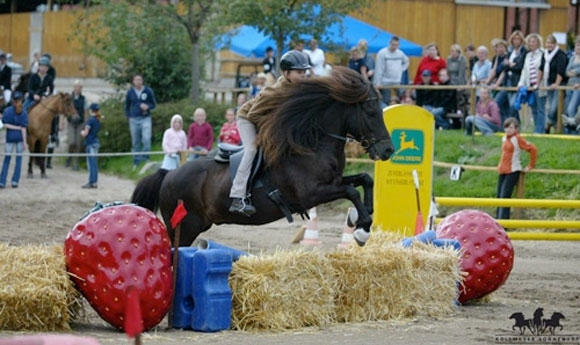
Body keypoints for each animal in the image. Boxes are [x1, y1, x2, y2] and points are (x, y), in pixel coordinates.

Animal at [131, 65, 394, 247]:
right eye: (370, 110)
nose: (388, 151)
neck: (313, 145)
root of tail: (168, 174)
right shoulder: (312, 193)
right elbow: (351, 191)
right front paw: (361, 229)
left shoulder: (333, 182)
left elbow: (364, 180)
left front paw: (358, 218)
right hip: (184, 227)